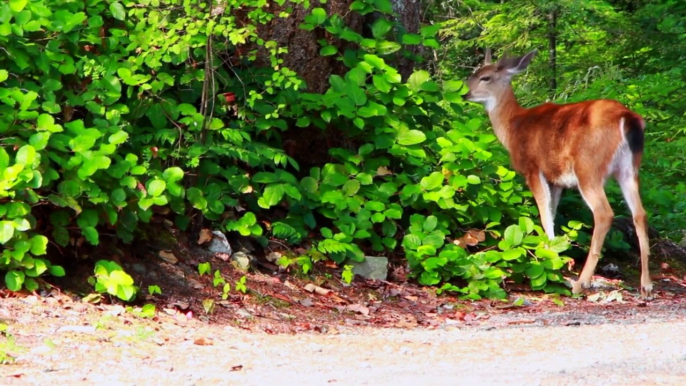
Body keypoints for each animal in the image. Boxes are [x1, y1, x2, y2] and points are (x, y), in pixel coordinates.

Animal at [464, 49, 652, 298]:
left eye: (485, 77)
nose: (465, 93)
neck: (513, 127)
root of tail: (627, 118)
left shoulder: (533, 168)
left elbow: (544, 215)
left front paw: (549, 257)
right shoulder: (557, 180)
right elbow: (551, 214)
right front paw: (554, 255)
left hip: (588, 167)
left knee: (604, 214)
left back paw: (581, 283)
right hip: (629, 169)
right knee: (640, 213)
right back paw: (646, 285)